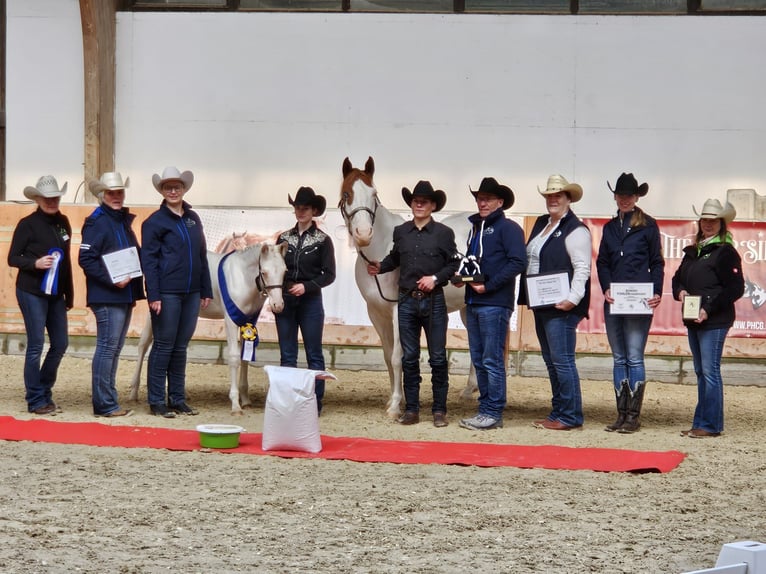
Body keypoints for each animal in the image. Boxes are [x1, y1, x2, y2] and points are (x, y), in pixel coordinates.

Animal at [129, 242, 288, 414]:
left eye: (285, 271)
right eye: (264, 272)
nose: (278, 305)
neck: (241, 277)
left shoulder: (248, 322)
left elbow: (244, 357)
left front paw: (245, 400)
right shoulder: (230, 320)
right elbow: (234, 357)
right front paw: (235, 404)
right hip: (154, 313)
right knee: (143, 345)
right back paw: (134, 391)